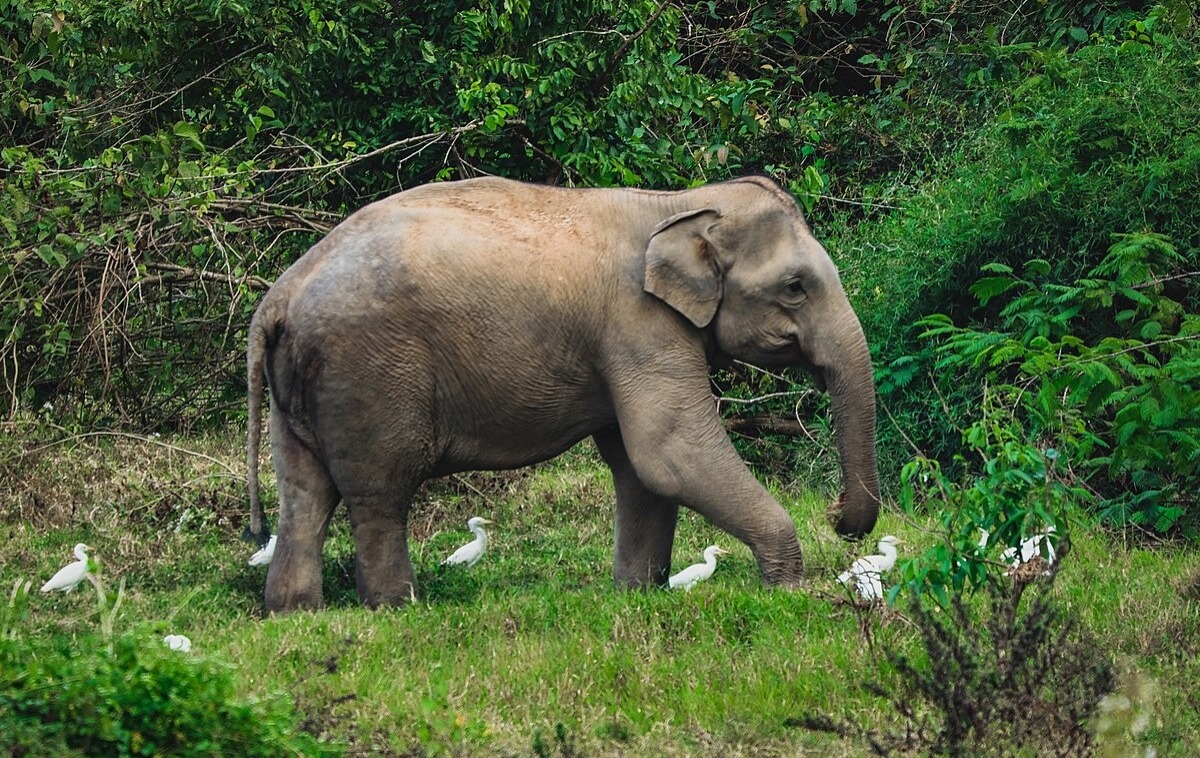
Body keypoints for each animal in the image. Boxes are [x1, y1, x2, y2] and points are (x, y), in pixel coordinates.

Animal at [246, 175, 883, 614]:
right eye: (795, 287)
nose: (836, 515)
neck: (676, 204)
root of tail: (276, 299)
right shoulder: (637, 326)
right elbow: (670, 452)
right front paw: (789, 588)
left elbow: (640, 468)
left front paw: (638, 594)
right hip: (369, 374)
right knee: (380, 490)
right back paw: (396, 608)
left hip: (302, 386)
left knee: (303, 492)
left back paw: (295, 613)